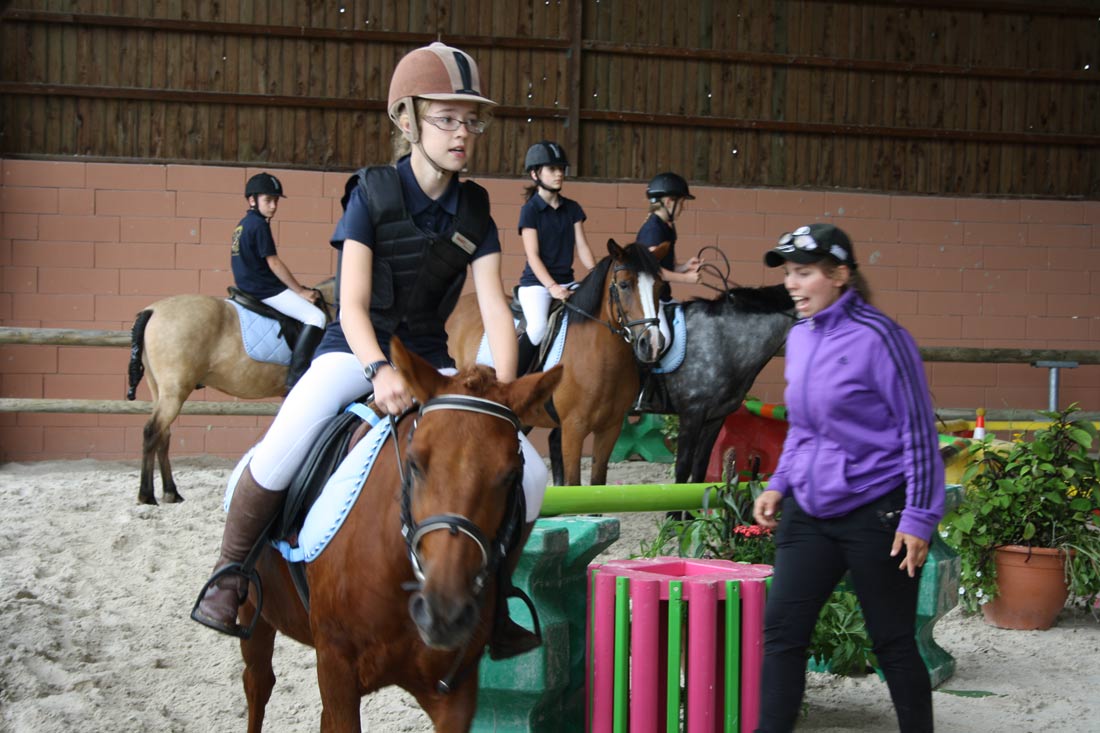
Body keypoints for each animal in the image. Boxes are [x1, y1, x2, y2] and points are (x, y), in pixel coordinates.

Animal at [123, 277, 330, 506]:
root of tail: (153, 310)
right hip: (174, 392)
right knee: (152, 432)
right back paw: (147, 495)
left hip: (159, 390)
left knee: (163, 435)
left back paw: (171, 492)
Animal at [228, 338, 563, 730]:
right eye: (415, 463)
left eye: (511, 476)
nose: (443, 613)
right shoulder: (335, 668)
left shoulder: (455, 693)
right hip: (253, 612)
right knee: (258, 683)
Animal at [444, 239, 664, 488]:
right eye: (625, 285)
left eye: (659, 287)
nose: (652, 344)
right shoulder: (573, 429)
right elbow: (574, 484)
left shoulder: (610, 429)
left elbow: (597, 485)